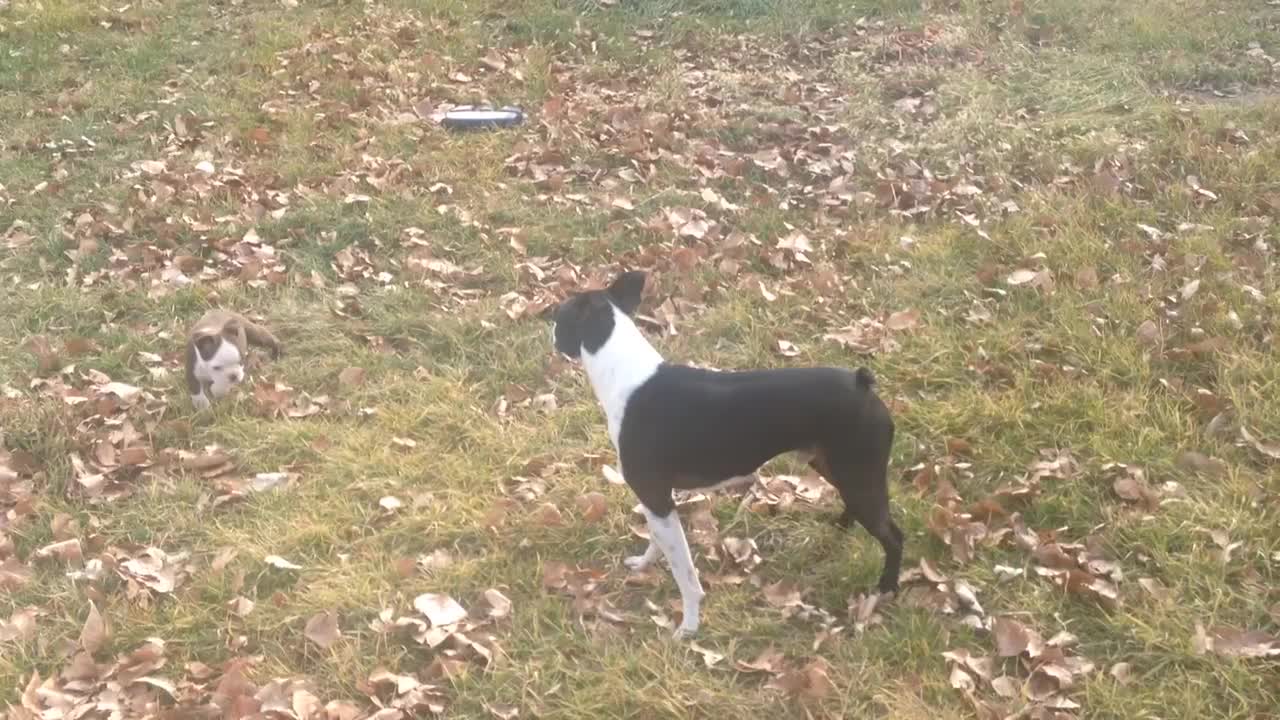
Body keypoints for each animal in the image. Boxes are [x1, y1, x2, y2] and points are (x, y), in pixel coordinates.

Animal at [555, 271, 906, 635]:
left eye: (557, 318)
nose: (552, 338)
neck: (625, 372)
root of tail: (863, 384)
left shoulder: (657, 498)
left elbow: (684, 571)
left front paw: (689, 626)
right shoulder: (657, 500)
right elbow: (657, 539)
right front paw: (643, 564)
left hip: (859, 473)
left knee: (894, 536)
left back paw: (886, 588)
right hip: (833, 465)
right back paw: (841, 527)